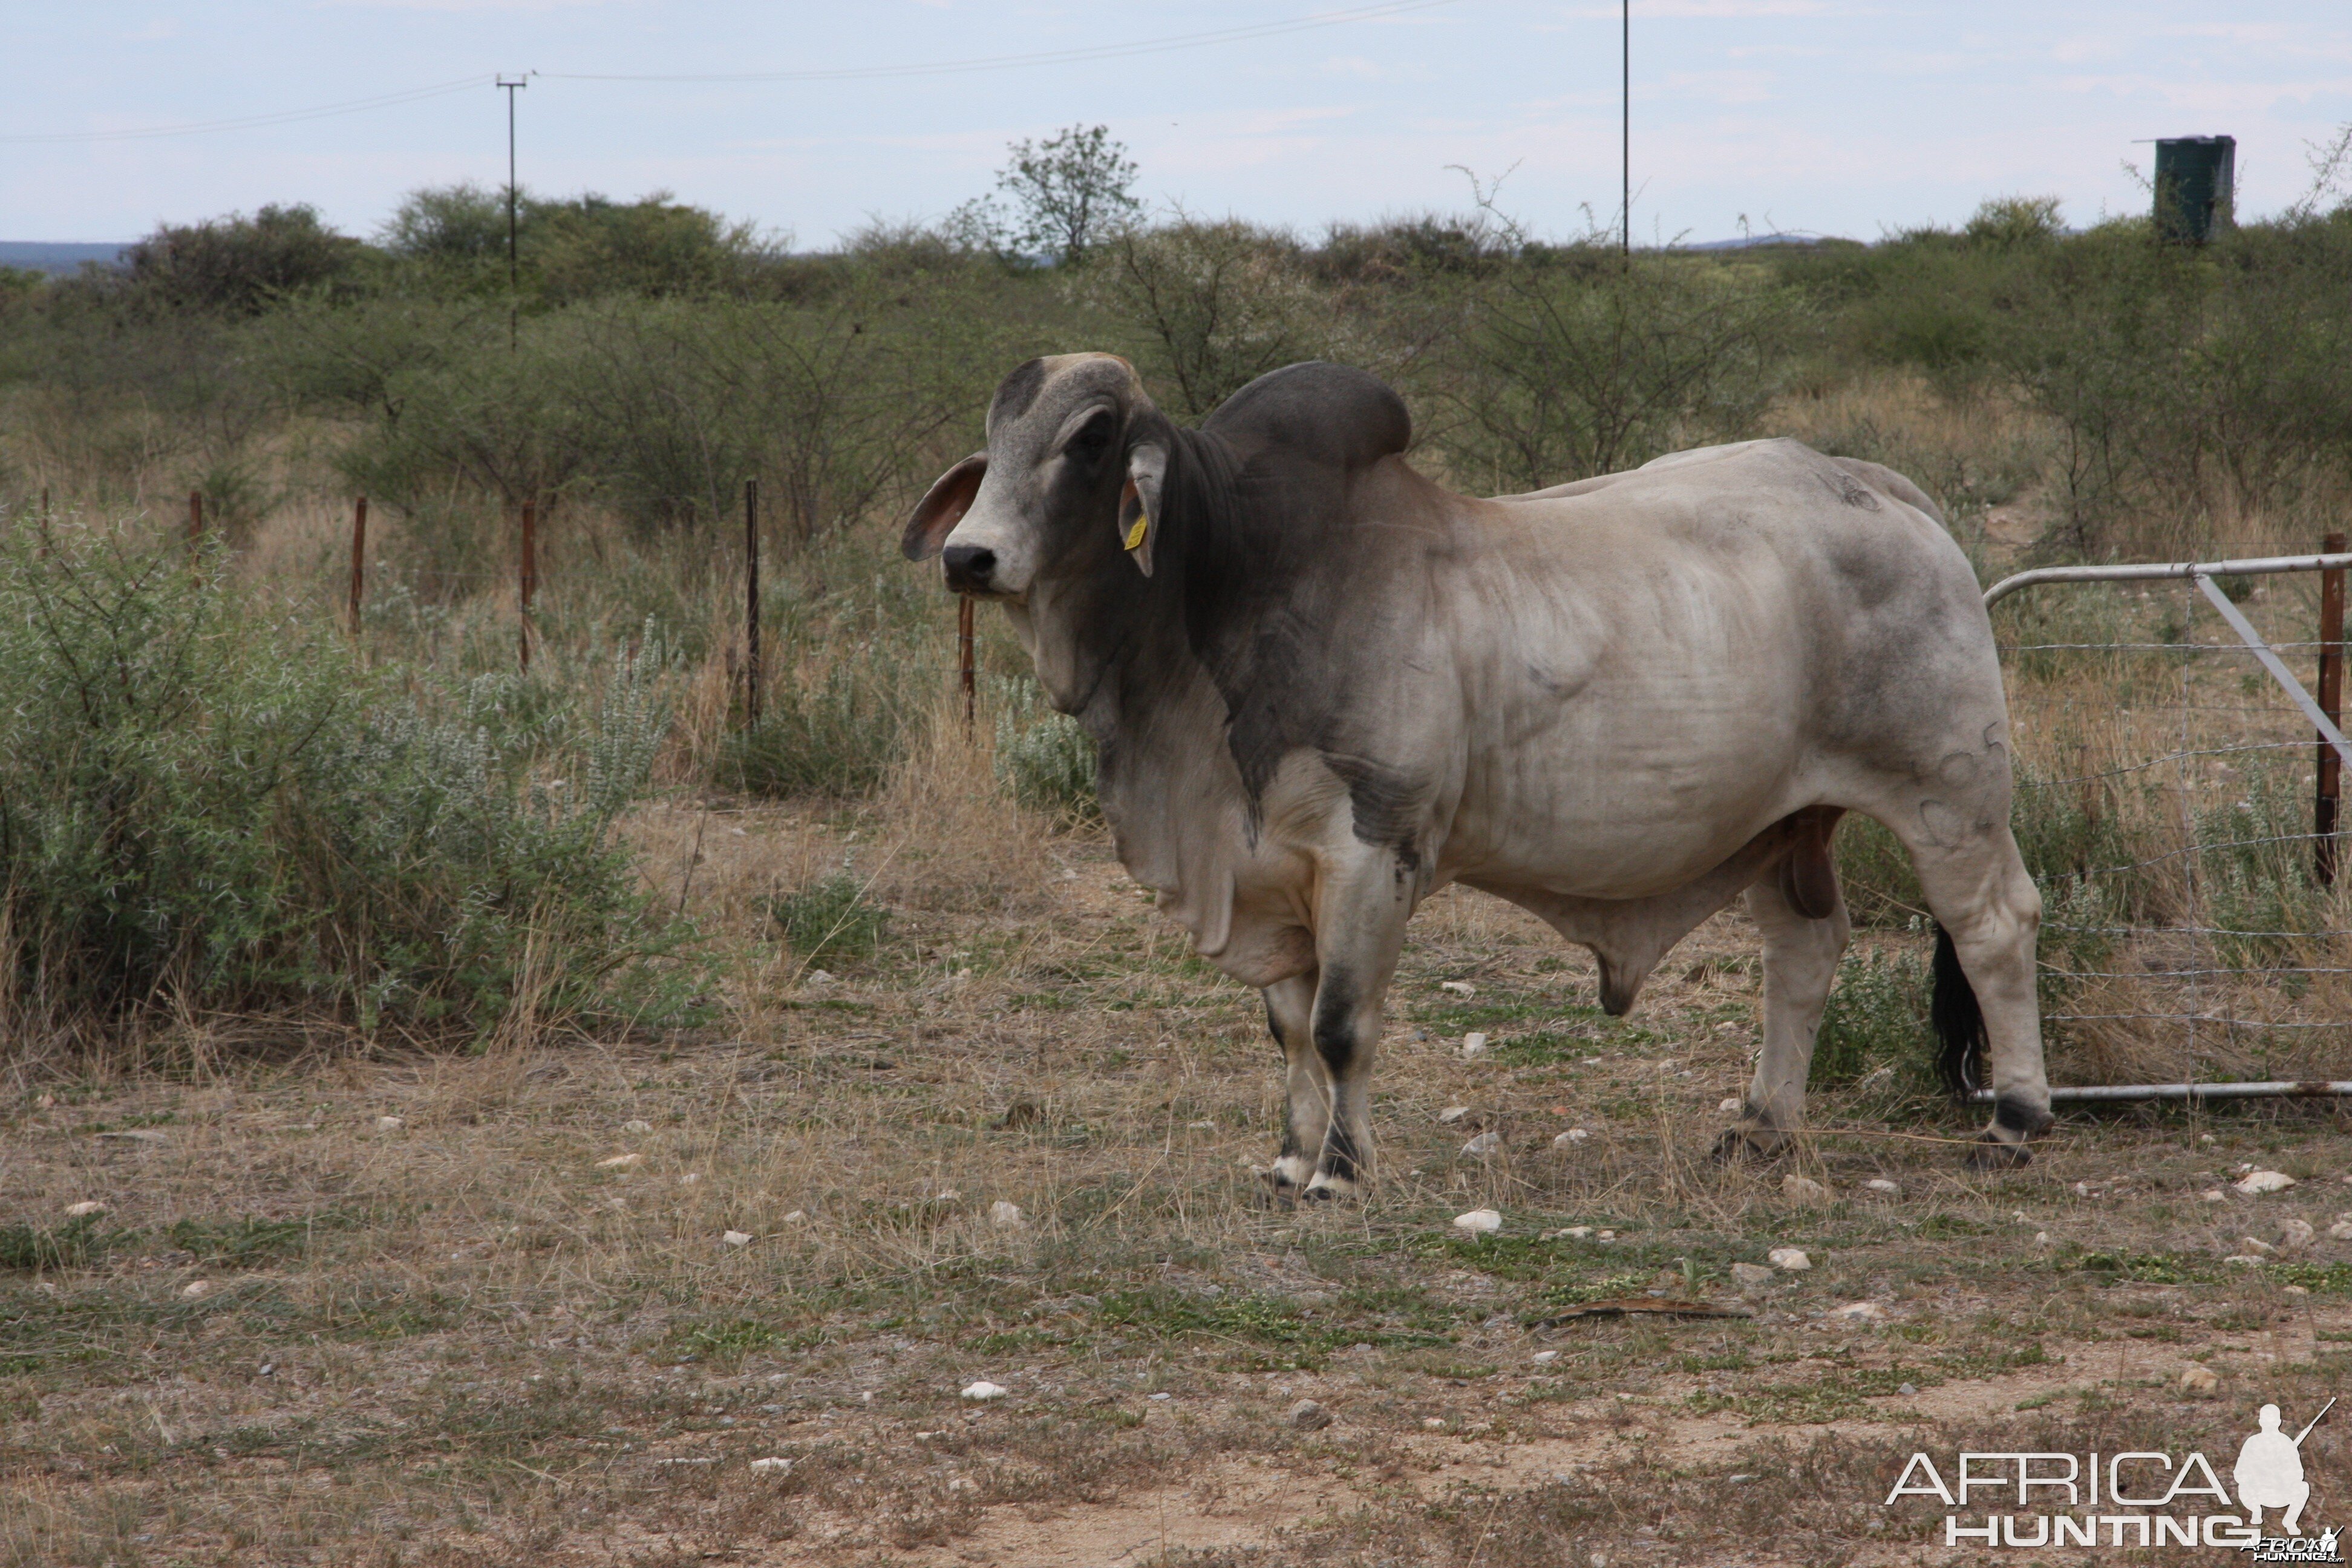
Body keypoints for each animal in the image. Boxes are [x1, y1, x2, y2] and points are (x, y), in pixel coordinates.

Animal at [907, 352, 2051, 1189]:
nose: (968, 557)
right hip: (1785, 823)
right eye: (995, 440)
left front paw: (1340, 1170)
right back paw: (1763, 1125)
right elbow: (1287, 1031)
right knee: (1803, 956)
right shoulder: (1265, 866)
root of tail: (1879, 491)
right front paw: (1287, 1159)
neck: (1236, 583)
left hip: (1948, 794)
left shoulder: (1370, 850)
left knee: (1994, 926)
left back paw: (2018, 1115)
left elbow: (1339, 1028)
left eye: (1090, 438)